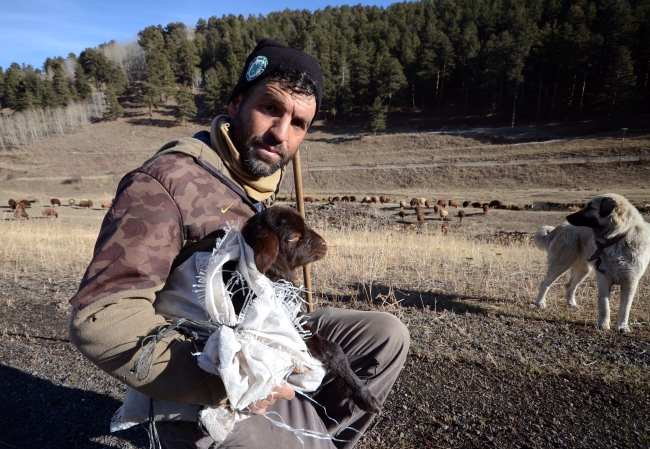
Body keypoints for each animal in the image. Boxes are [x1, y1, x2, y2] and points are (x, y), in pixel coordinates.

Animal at [536, 192, 644, 332]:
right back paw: (540, 302)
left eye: (590, 207)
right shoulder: (604, 278)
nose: (567, 216)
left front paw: (622, 327)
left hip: (583, 270)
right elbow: (604, 305)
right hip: (560, 265)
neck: (617, 238)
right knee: (545, 284)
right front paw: (603, 325)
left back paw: (572, 304)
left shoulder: (630, 282)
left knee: (570, 286)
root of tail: (560, 227)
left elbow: (625, 308)